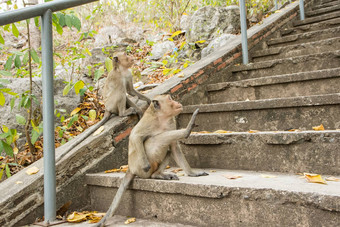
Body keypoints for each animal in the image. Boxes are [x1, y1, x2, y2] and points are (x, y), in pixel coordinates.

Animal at [94, 94, 209, 227]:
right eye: (170, 99)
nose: (177, 102)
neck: (162, 118)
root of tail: (130, 168)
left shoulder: (171, 123)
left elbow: (174, 148)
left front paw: (192, 173)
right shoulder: (148, 121)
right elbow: (135, 136)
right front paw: (145, 164)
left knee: (168, 150)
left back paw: (157, 175)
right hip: (140, 170)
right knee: (154, 140)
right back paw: (186, 131)